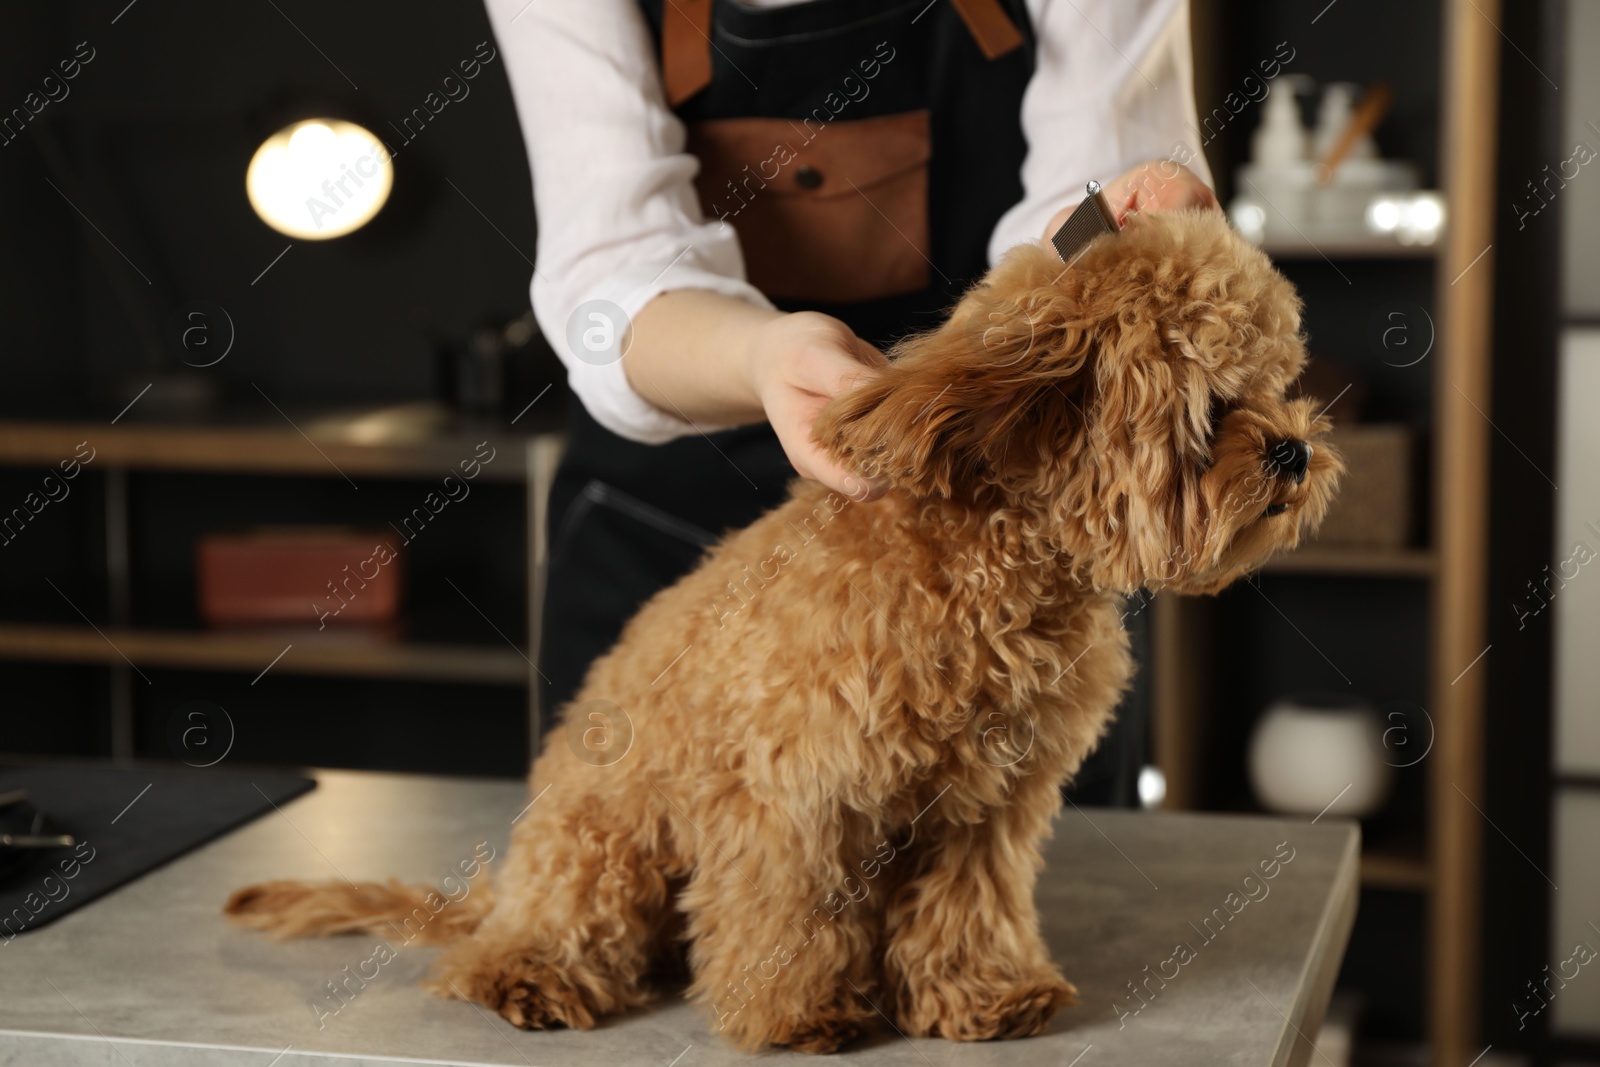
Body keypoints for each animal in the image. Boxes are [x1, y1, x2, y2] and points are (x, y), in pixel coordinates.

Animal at [228, 206, 1337, 1049]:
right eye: (1211, 409)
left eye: (1280, 386)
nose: (1293, 450)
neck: (985, 566)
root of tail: (504, 895)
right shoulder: (793, 790)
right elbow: (787, 909)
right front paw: (797, 1013)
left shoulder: (990, 805)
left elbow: (969, 906)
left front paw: (982, 995)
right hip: (601, 848)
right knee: (505, 949)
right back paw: (530, 976)